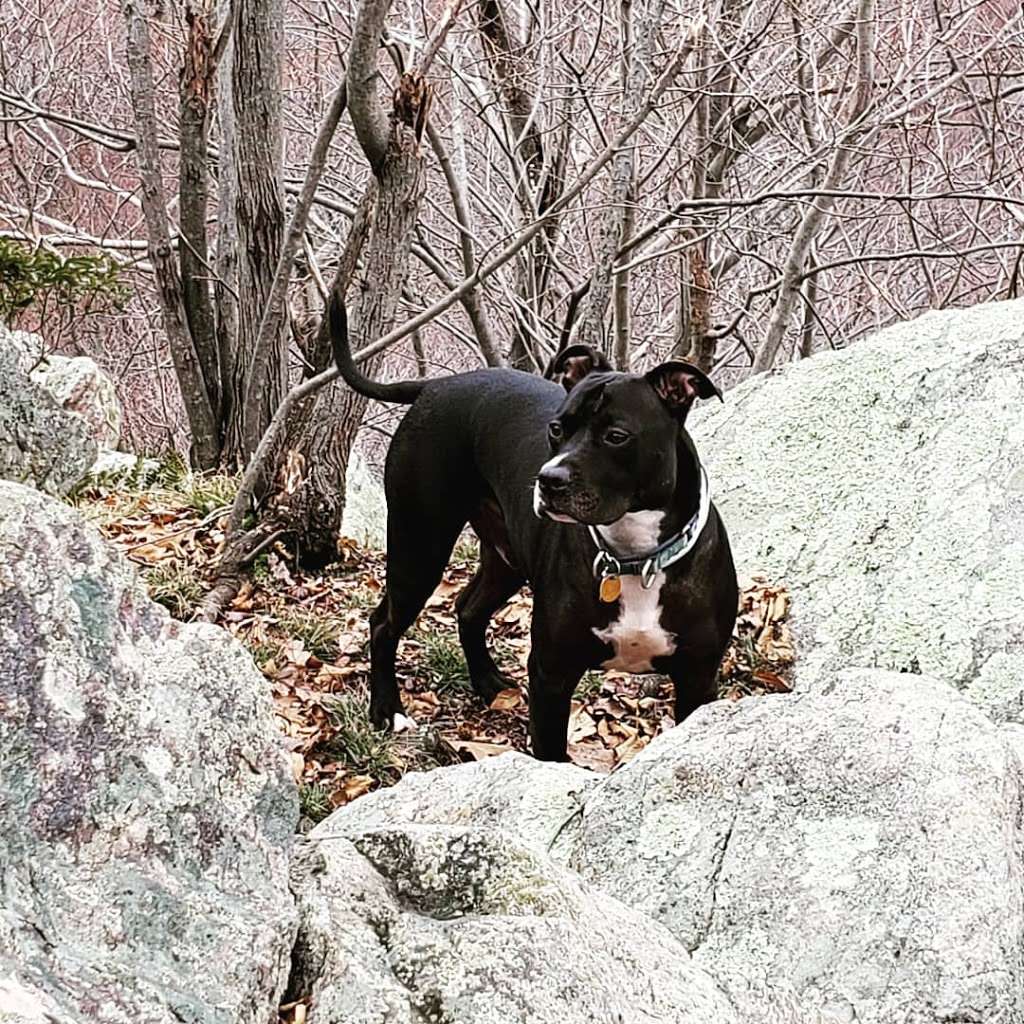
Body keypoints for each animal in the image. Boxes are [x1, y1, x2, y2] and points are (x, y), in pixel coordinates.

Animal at [331, 296, 741, 761]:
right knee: (383, 623)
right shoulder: (551, 673)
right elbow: (551, 753)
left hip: (504, 560)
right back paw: (387, 708)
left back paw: (487, 681)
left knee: (468, 608)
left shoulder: (698, 678)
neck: (636, 557)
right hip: (419, 546)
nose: (548, 480)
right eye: (557, 427)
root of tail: (436, 385)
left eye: (617, 436)